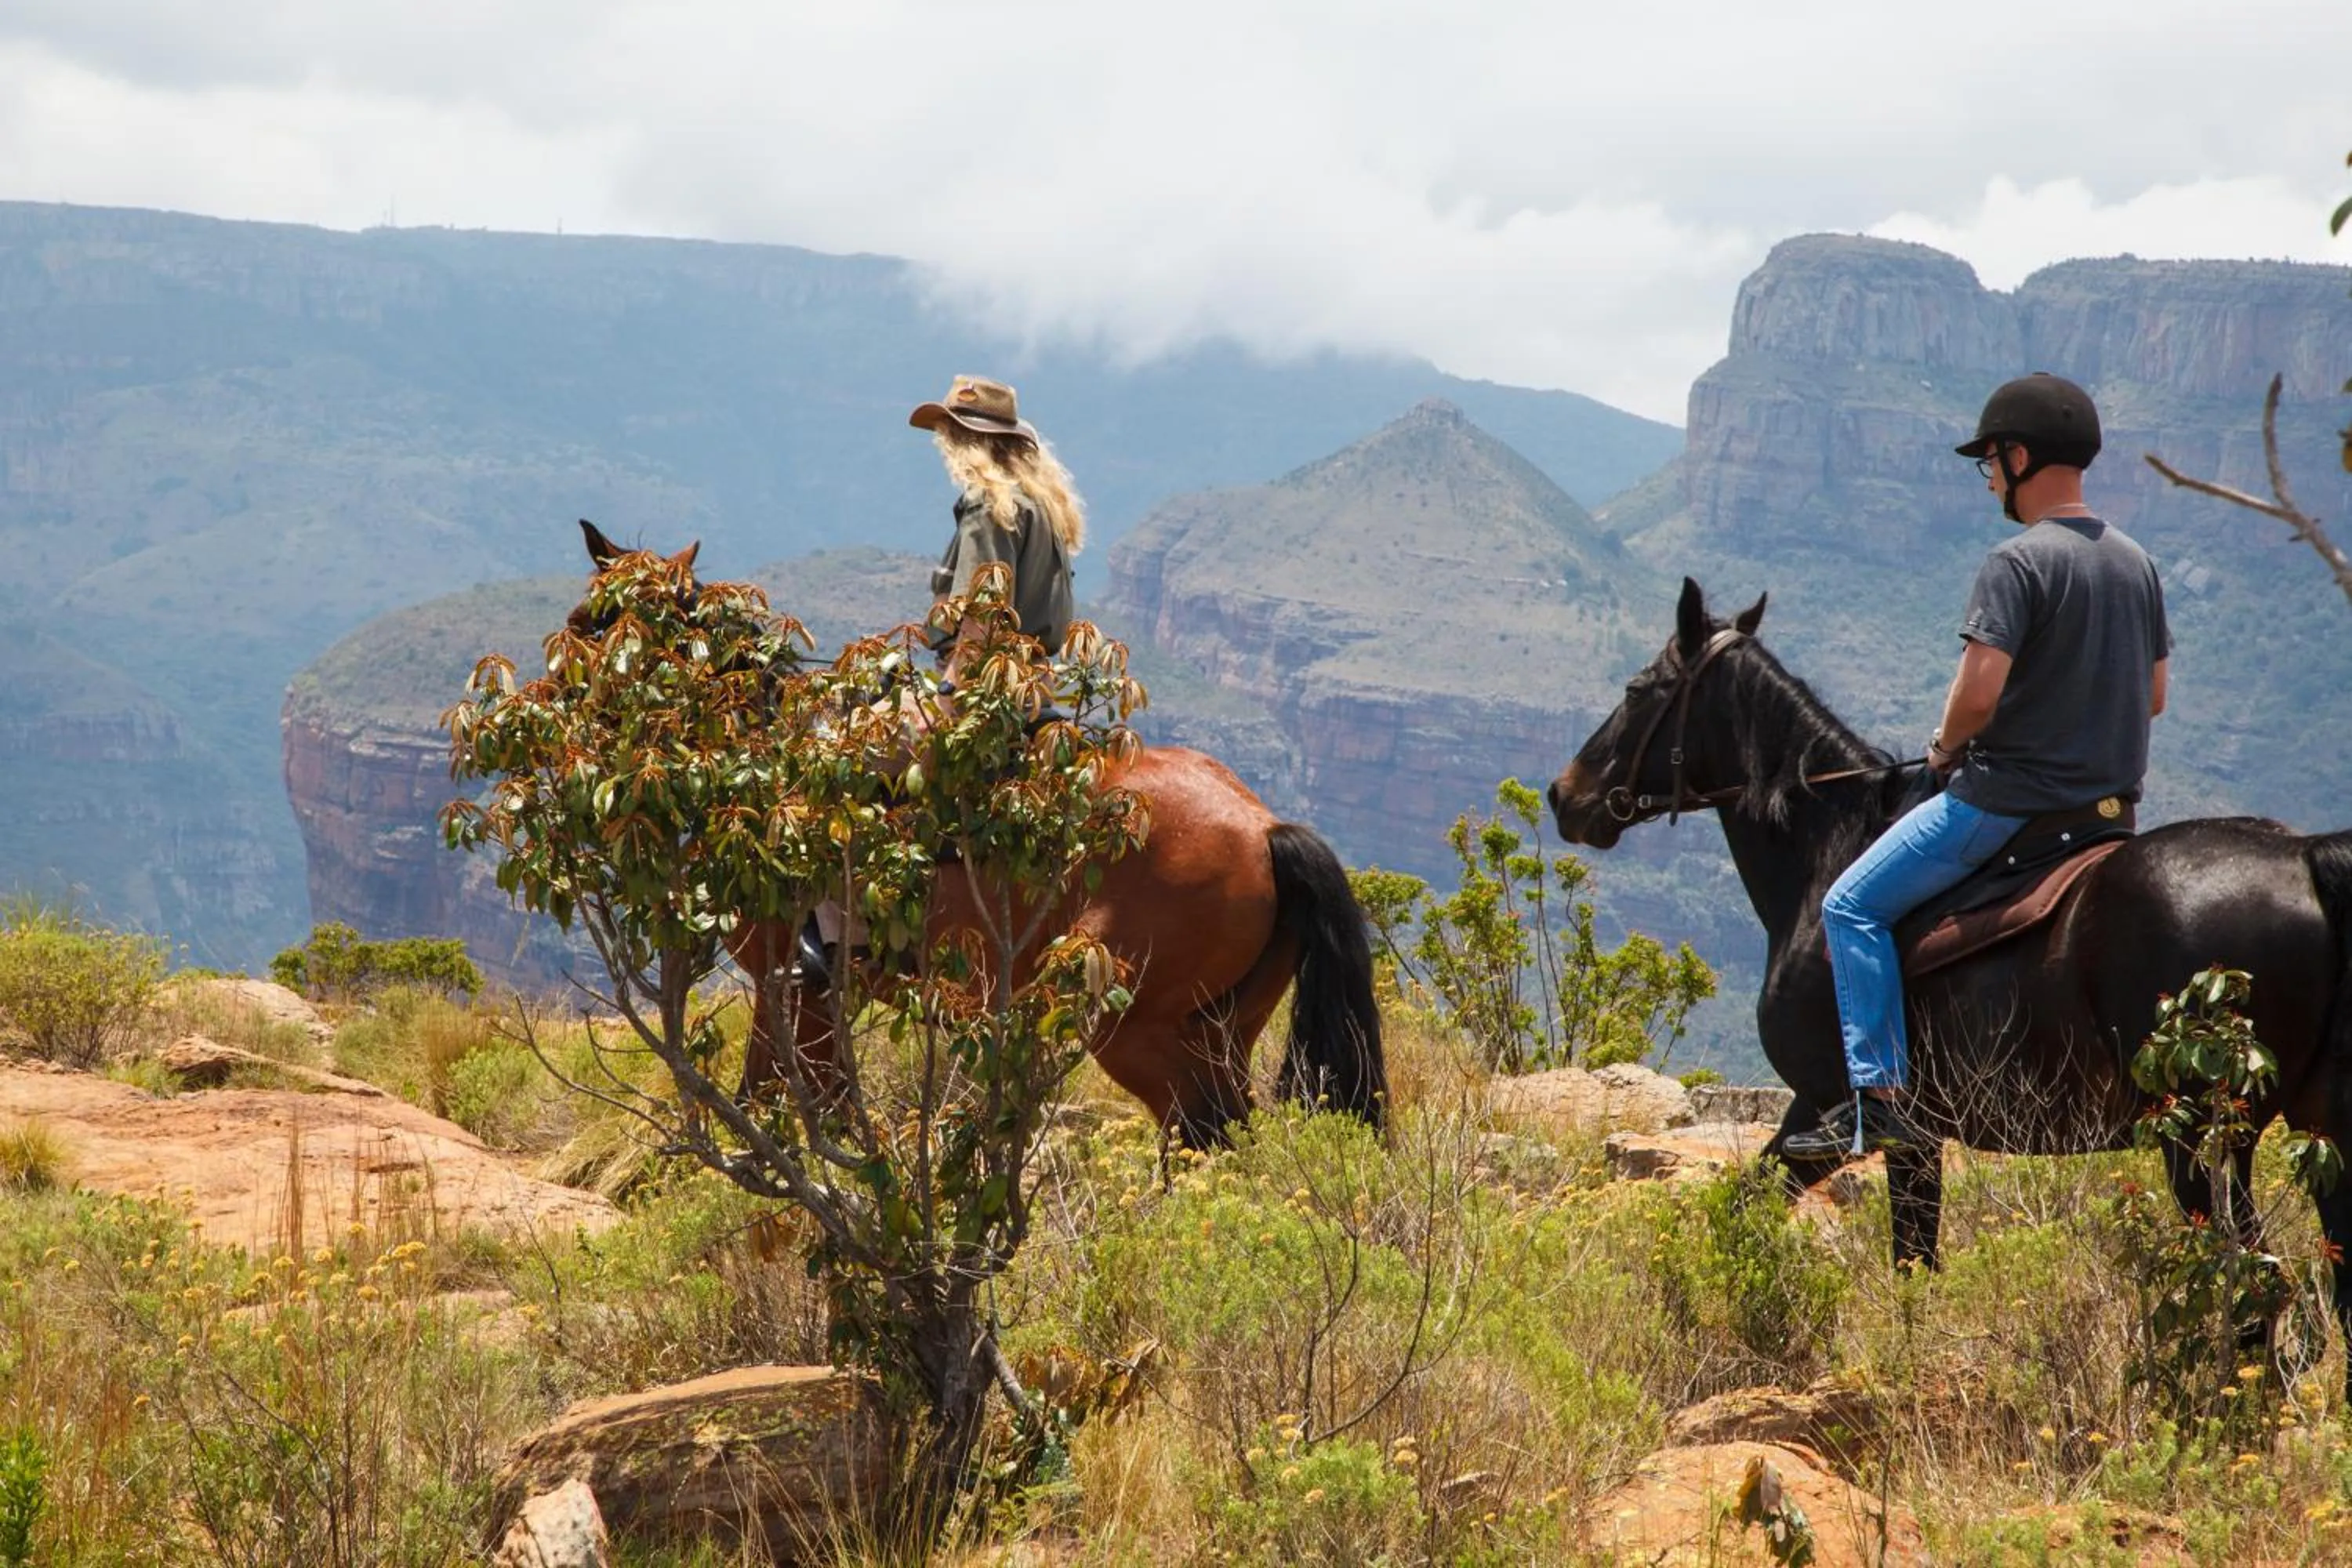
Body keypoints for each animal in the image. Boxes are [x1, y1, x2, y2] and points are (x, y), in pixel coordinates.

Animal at [569, 521, 1386, 1147]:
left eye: (587, 624)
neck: (766, 772)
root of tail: (1263, 827)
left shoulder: (790, 987)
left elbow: (775, 1100)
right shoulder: (817, 1003)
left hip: (1136, 1032)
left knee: (1203, 1130)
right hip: (1218, 1031)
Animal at [1545, 578, 2352, 1379]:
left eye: (1640, 688)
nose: (1562, 795)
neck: (1826, 851)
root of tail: (2302, 856)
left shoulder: (1833, 1112)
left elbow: (1845, 1241)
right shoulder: (1906, 1137)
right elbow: (1885, 1251)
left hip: (2203, 1138)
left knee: (2251, 1281)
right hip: (2317, 1126)